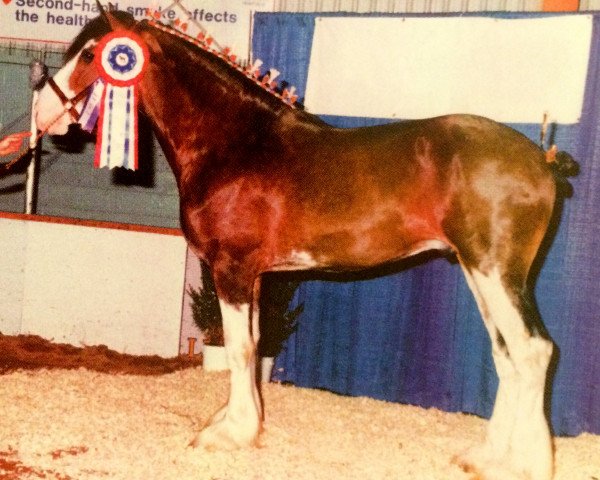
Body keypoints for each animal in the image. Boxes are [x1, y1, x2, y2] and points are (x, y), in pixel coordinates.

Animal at [32, 10, 576, 480]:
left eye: (91, 54)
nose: (41, 111)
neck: (235, 142)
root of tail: (542, 159)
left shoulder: (231, 269)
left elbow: (240, 348)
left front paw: (231, 434)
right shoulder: (254, 275)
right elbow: (251, 346)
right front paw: (238, 424)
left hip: (496, 272)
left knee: (532, 351)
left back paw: (526, 465)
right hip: (478, 270)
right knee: (507, 355)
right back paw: (486, 457)